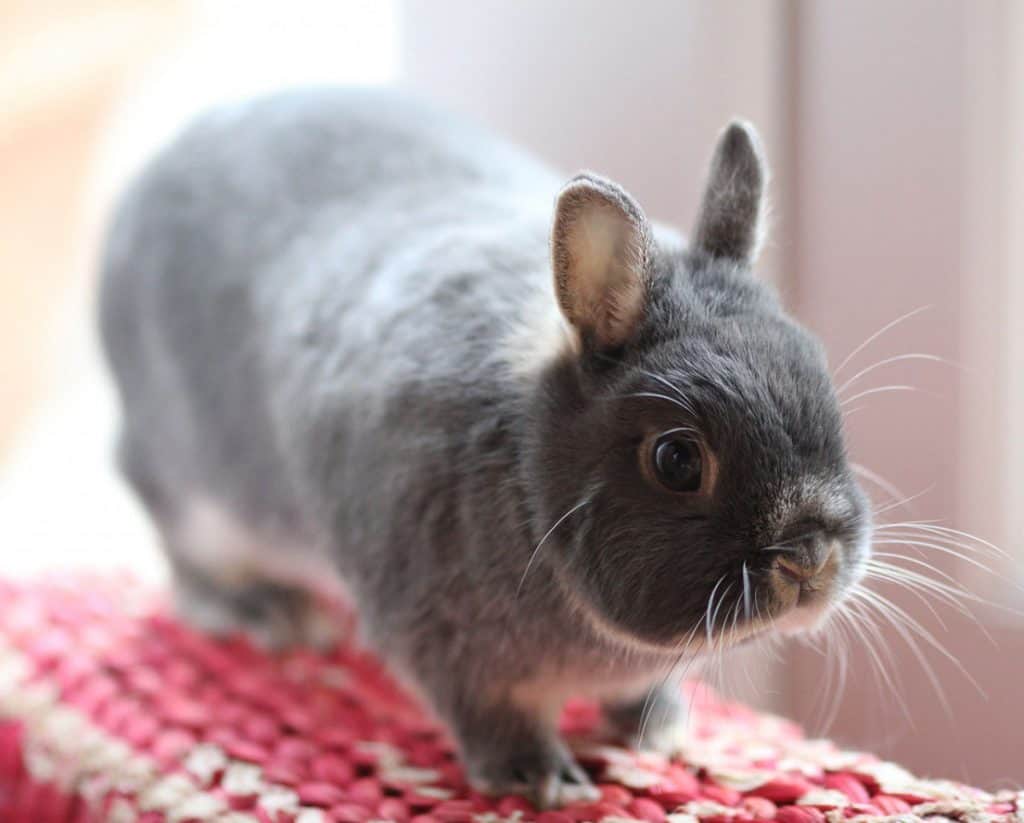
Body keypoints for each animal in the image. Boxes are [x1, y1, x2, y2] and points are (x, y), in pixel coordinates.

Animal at [99, 88, 872, 802]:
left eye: (821, 383)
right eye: (677, 459)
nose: (810, 559)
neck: (530, 471)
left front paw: (661, 731)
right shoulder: (444, 645)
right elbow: (490, 715)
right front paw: (540, 778)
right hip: (186, 496)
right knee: (186, 566)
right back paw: (264, 610)